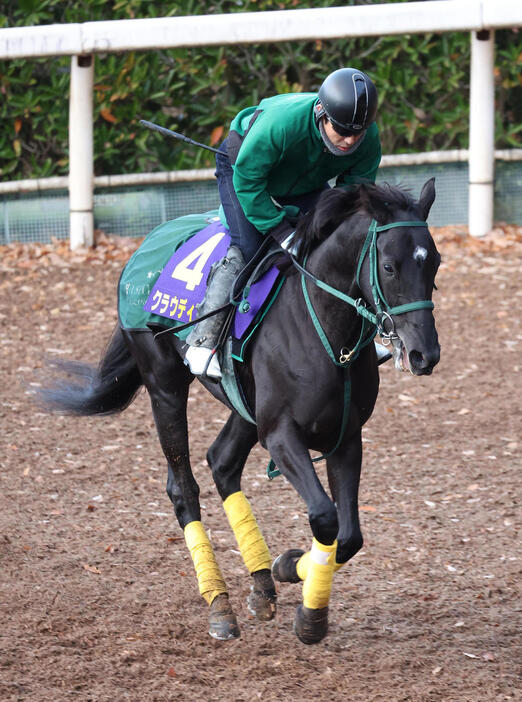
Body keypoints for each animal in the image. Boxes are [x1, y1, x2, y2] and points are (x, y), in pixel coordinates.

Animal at [39, 180, 438, 644]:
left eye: (435, 264)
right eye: (389, 267)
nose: (425, 354)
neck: (321, 327)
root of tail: (144, 248)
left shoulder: (346, 436)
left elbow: (349, 535)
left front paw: (290, 573)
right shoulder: (281, 434)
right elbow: (325, 518)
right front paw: (307, 610)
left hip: (244, 408)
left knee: (222, 462)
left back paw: (262, 582)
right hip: (164, 386)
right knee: (183, 489)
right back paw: (220, 604)